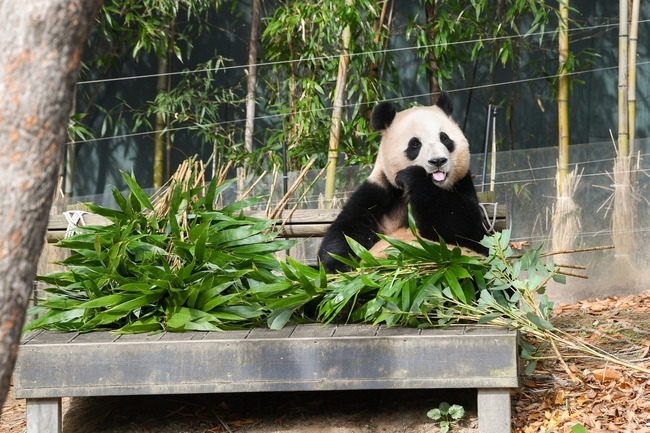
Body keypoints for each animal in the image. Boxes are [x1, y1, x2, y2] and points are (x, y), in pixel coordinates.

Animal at [316, 92, 484, 272]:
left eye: (444, 138)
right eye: (415, 144)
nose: (438, 161)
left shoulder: (462, 184)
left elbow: (468, 230)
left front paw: (413, 176)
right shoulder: (379, 191)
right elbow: (347, 230)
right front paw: (338, 266)